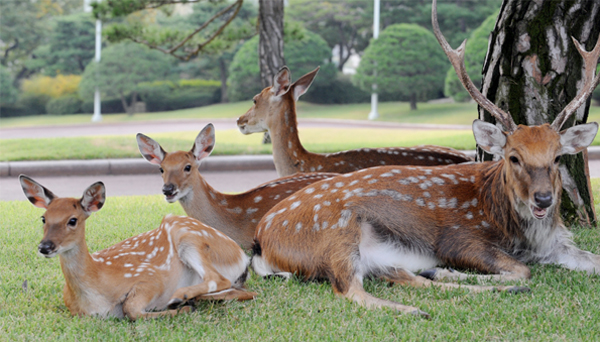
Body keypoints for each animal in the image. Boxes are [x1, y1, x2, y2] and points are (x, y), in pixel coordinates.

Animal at [20, 175, 255, 320]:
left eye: (72, 220)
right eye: (43, 218)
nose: (45, 246)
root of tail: (241, 258)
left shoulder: (150, 277)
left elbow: (131, 309)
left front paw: (182, 309)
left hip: (187, 234)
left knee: (220, 280)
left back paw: (180, 298)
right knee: (241, 292)